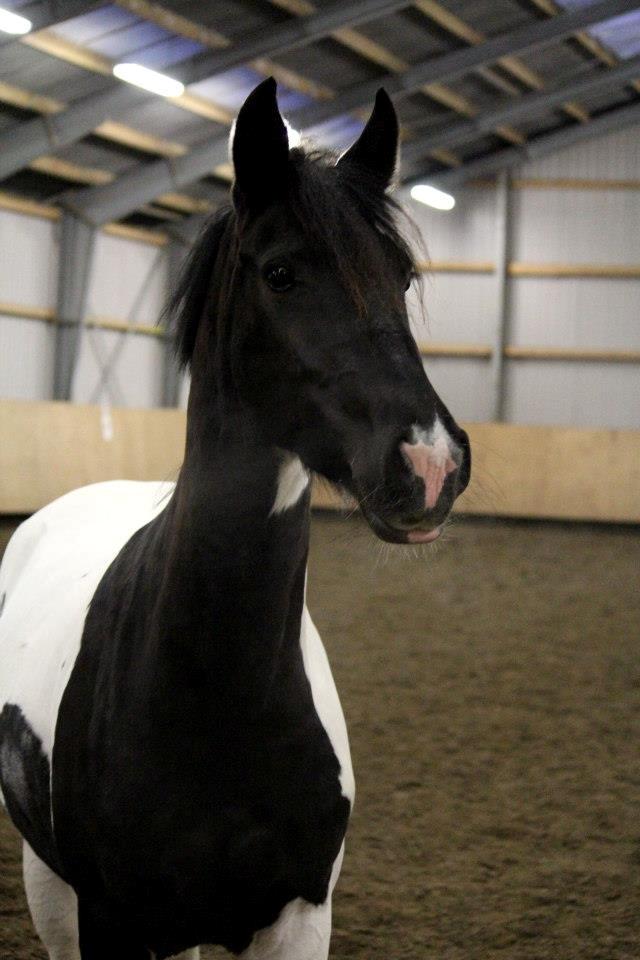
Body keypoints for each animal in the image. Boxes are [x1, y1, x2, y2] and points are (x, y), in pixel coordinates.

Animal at [0, 78, 471, 960]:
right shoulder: (109, 919)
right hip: (50, 884)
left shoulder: (298, 918)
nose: (431, 464)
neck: (218, 694)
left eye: (401, 276)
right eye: (281, 273)